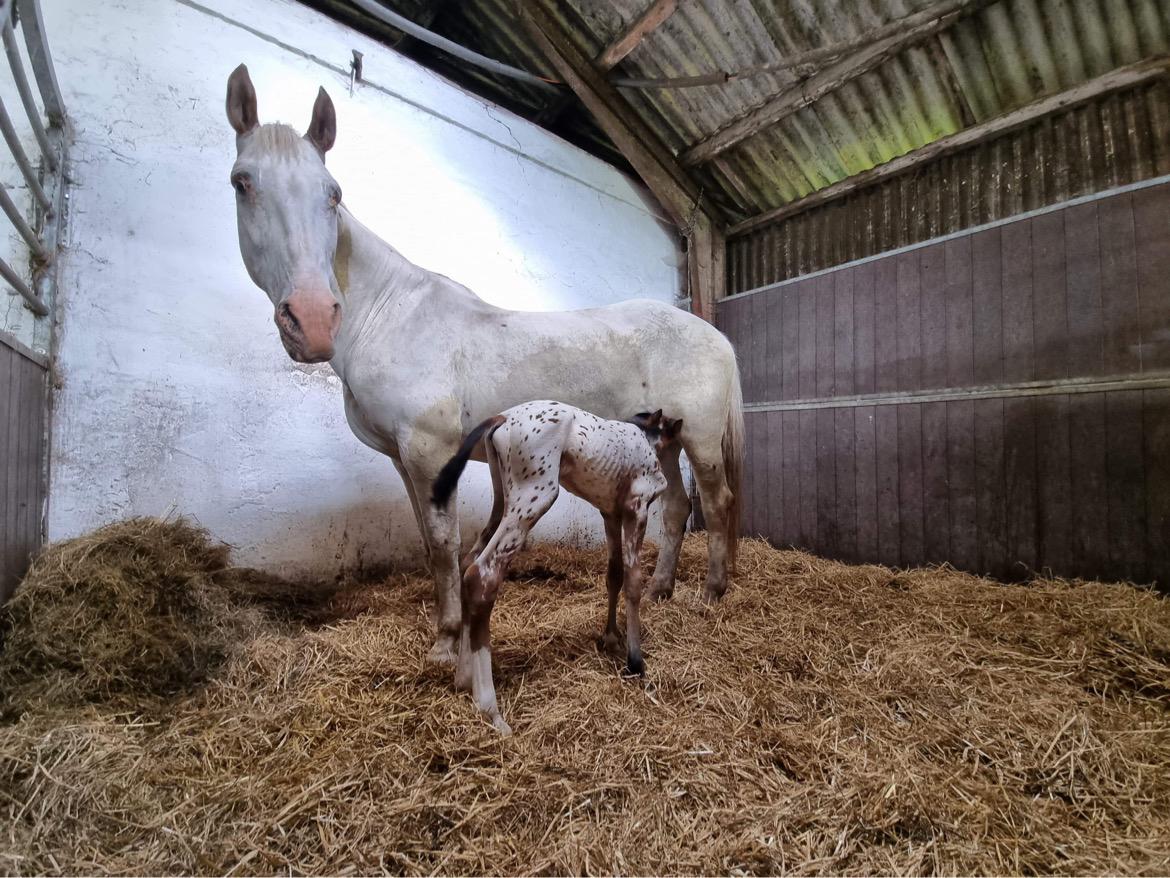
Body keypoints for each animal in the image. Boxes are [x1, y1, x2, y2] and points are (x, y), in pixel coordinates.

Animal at [225, 63, 739, 664]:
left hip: (699, 439)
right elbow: (431, 542)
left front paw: (447, 641)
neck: (390, 313)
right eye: (242, 182)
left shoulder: (429, 452)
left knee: (717, 502)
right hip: (666, 440)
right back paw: (660, 589)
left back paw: (712, 592)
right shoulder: (404, 459)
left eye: (333, 194)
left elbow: (445, 544)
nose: (310, 320)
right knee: (678, 509)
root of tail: (714, 334)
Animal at [430, 402, 683, 730]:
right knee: (481, 575)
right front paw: (635, 661)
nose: (669, 478)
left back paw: (463, 679)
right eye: (675, 442)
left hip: (503, 500)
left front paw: (611, 640)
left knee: (466, 563)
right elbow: (633, 582)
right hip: (534, 496)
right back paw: (490, 710)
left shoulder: (610, 513)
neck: (645, 435)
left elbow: (613, 575)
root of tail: (501, 418)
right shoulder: (635, 507)